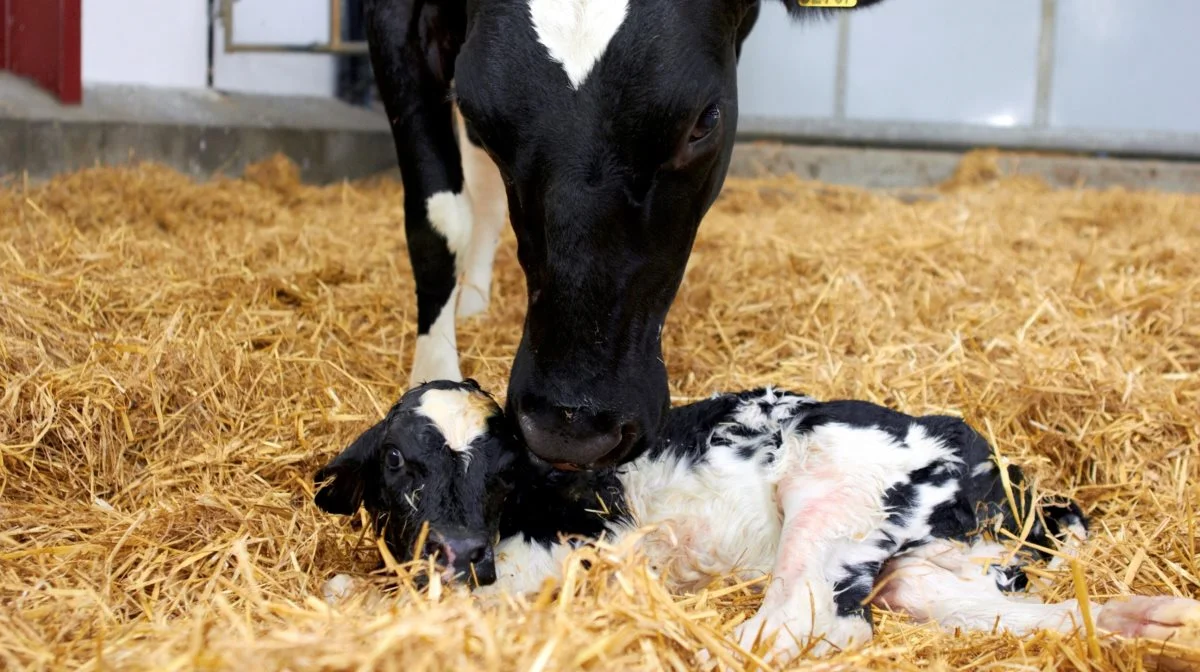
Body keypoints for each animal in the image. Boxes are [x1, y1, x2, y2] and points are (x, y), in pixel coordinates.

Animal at [312, 381, 1200, 662]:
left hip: (830, 493)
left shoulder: (559, 565)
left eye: (501, 473)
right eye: (398, 464)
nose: (460, 551)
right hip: (930, 568)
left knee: (797, 629)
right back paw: (1154, 621)